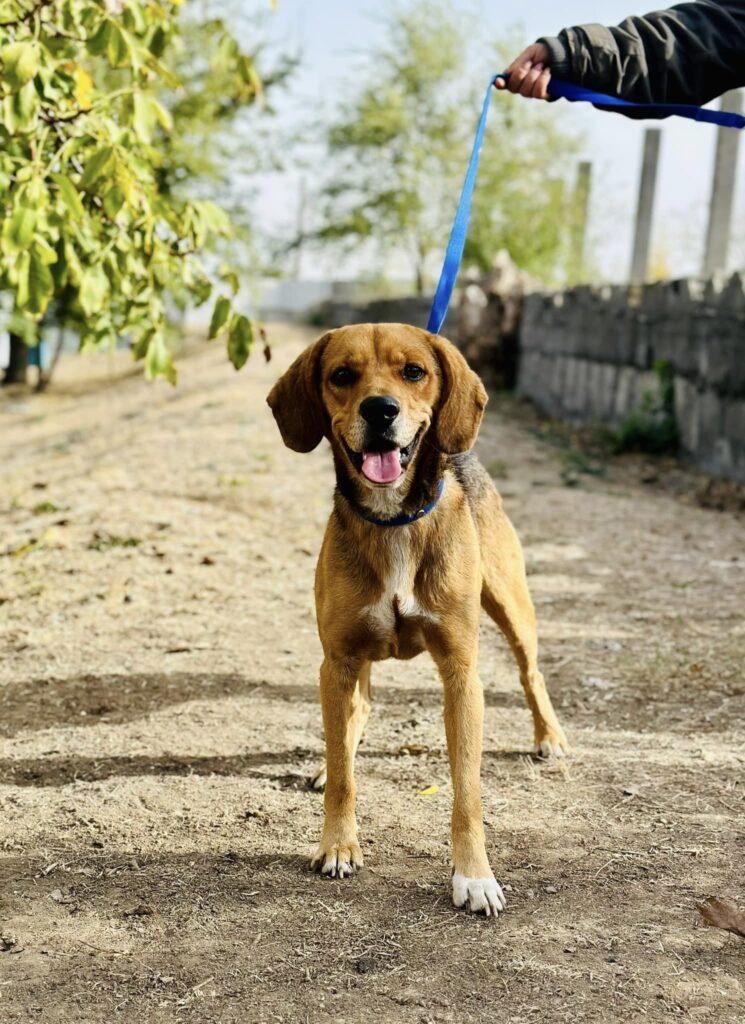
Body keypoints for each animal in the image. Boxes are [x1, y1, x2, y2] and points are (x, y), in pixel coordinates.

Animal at [266, 323, 564, 917]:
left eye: (414, 372)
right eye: (342, 375)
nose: (380, 410)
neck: (393, 520)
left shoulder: (461, 674)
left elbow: (468, 792)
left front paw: (474, 877)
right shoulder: (337, 660)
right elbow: (343, 779)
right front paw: (338, 844)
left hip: (512, 605)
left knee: (531, 672)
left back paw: (550, 736)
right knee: (354, 717)